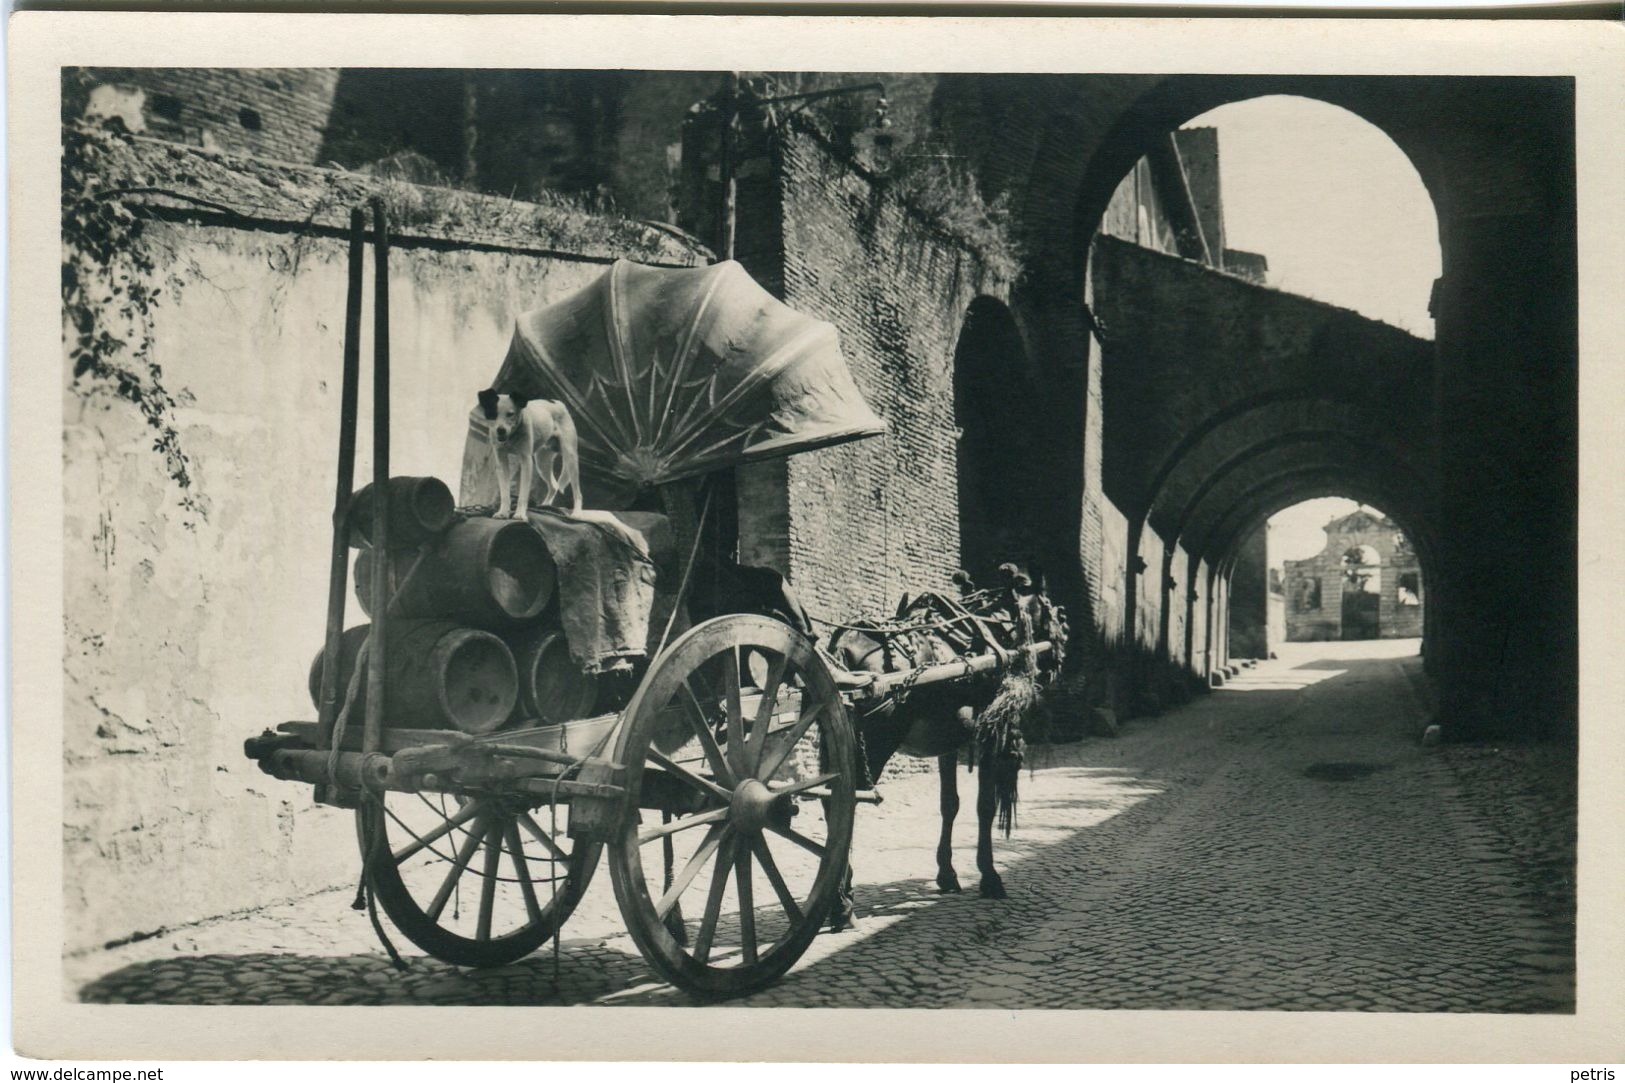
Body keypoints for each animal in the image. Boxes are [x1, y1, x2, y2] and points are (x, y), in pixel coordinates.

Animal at [471, 388, 585, 520]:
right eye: (493, 414)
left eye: (510, 414)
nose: (501, 430)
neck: (511, 436)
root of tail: (558, 402)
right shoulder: (501, 462)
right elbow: (505, 493)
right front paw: (503, 512)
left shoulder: (526, 461)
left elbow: (523, 494)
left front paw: (520, 514)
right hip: (542, 462)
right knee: (554, 486)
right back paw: (545, 506)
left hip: (570, 458)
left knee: (577, 493)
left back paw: (576, 513)